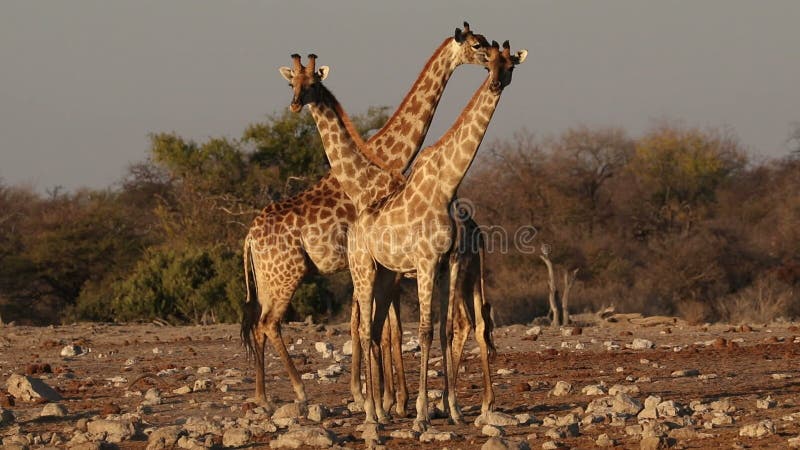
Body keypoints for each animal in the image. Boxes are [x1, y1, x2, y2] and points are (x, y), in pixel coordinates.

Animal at [241, 22, 496, 414]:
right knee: (267, 322)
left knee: (259, 323)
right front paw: (385, 399)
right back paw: (289, 394)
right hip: (284, 276)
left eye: (312, 81)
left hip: (273, 278)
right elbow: (382, 328)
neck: (381, 165)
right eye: (477, 44)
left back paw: (267, 397)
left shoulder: (378, 266)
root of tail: (250, 237)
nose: (295, 103)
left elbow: (376, 327)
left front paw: (379, 398)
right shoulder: (374, 265)